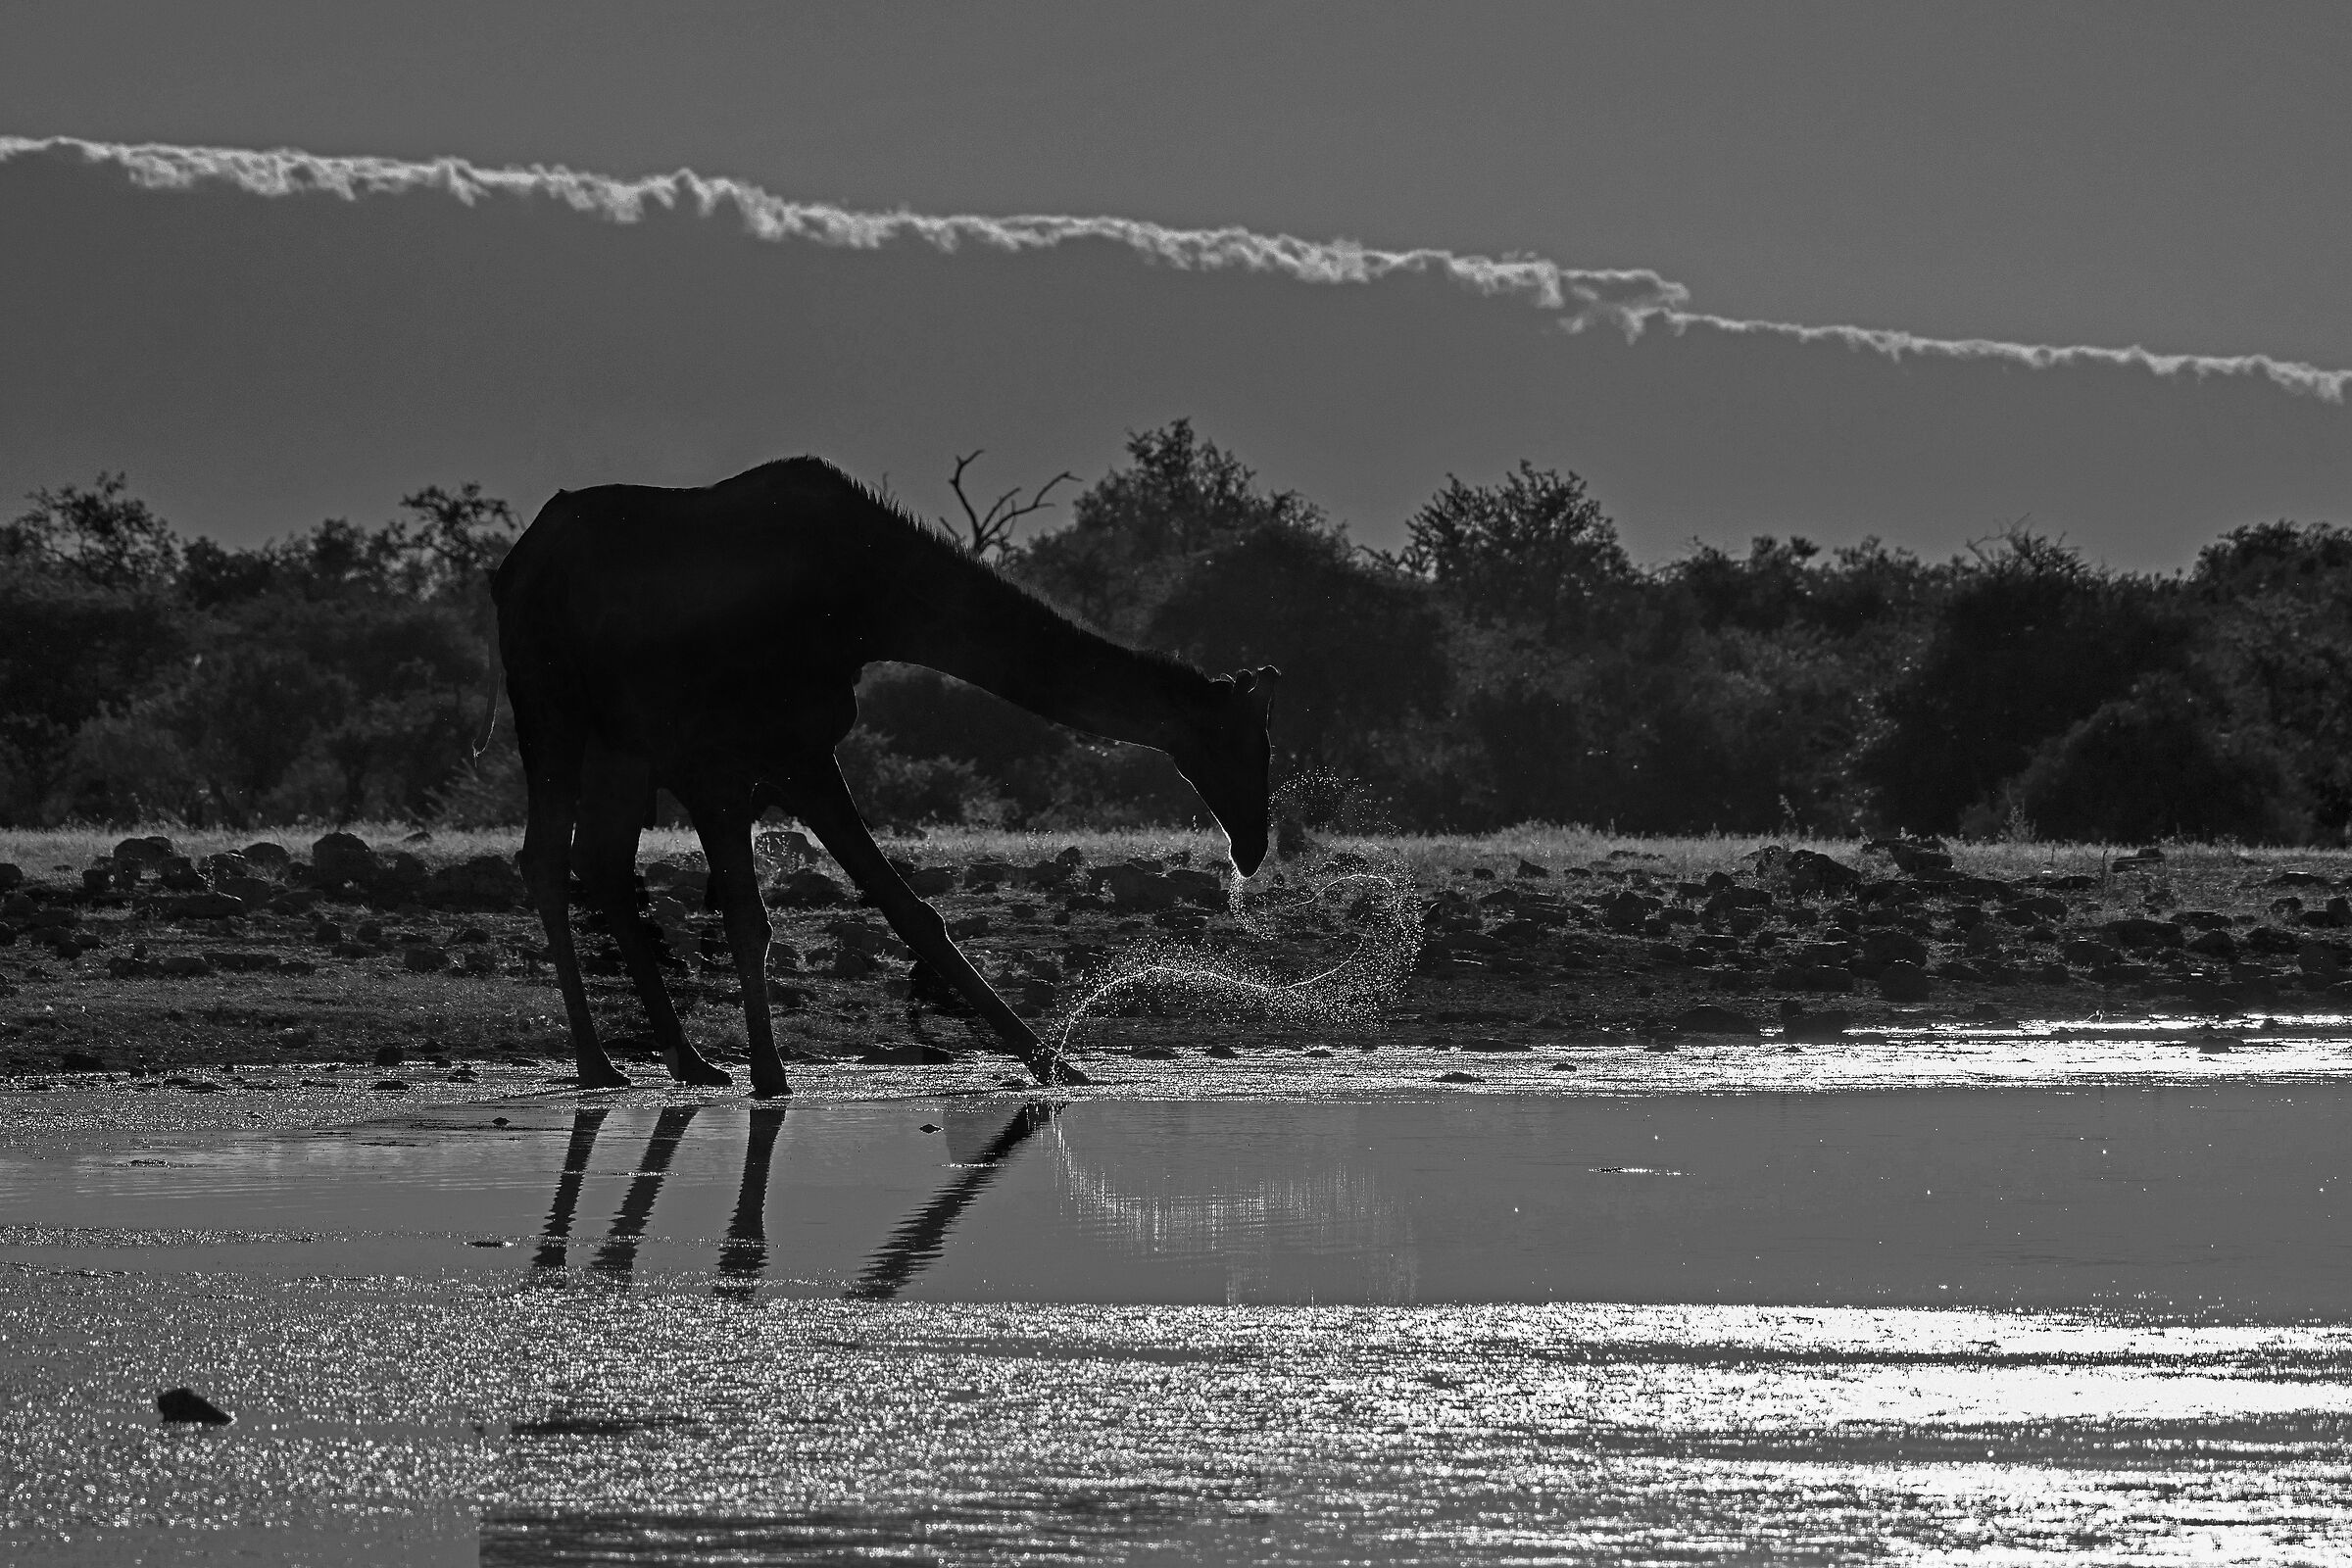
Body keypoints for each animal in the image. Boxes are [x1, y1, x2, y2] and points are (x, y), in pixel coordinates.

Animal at [493, 456, 1280, 1098]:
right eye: (1239, 741)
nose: (1253, 844)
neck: (871, 609)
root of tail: (510, 569)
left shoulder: (777, 755)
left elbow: (908, 910)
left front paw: (1054, 1062)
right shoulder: (745, 760)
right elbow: (760, 916)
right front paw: (770, 1074)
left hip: (618, 745)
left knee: (597, 860)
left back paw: (686, 1060)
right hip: (550, 706)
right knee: (546, 857)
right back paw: (598, 1062)